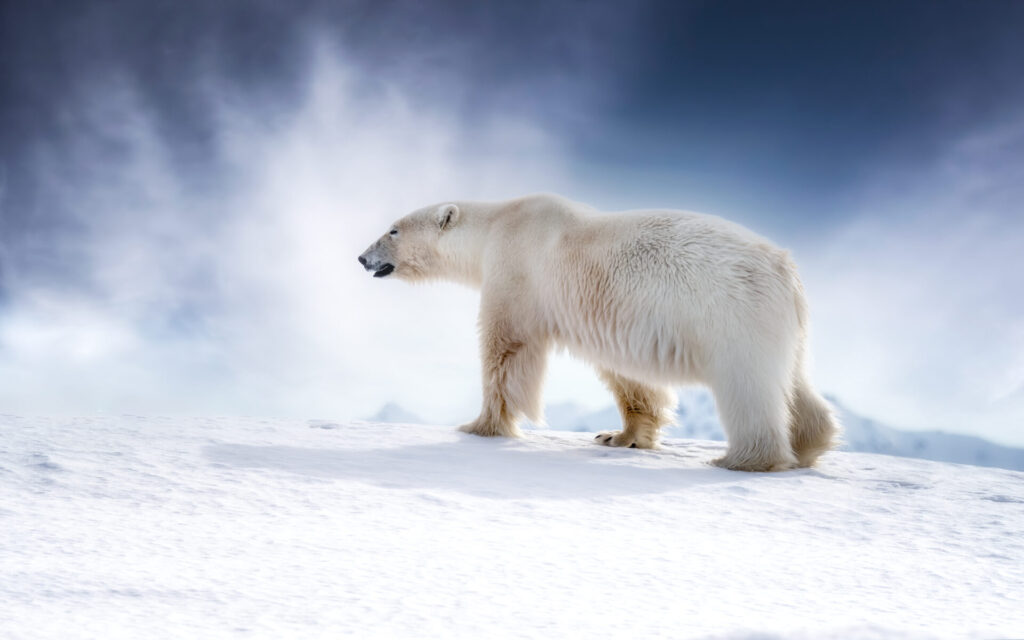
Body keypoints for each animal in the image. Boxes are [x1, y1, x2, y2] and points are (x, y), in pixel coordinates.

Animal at [358, 194, 838, 471]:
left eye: (393, 229)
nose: (362, 257)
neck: (497, 225)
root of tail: (784, 267)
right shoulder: (610, 315)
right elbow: (628, 375)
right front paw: (620, 437)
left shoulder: (516, 273)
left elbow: (507, 350)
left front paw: (480, 427)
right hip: (780, 324)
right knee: (794, 382)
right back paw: (810, 444)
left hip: (731, 314)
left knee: (748, 387)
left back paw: (740, 459)